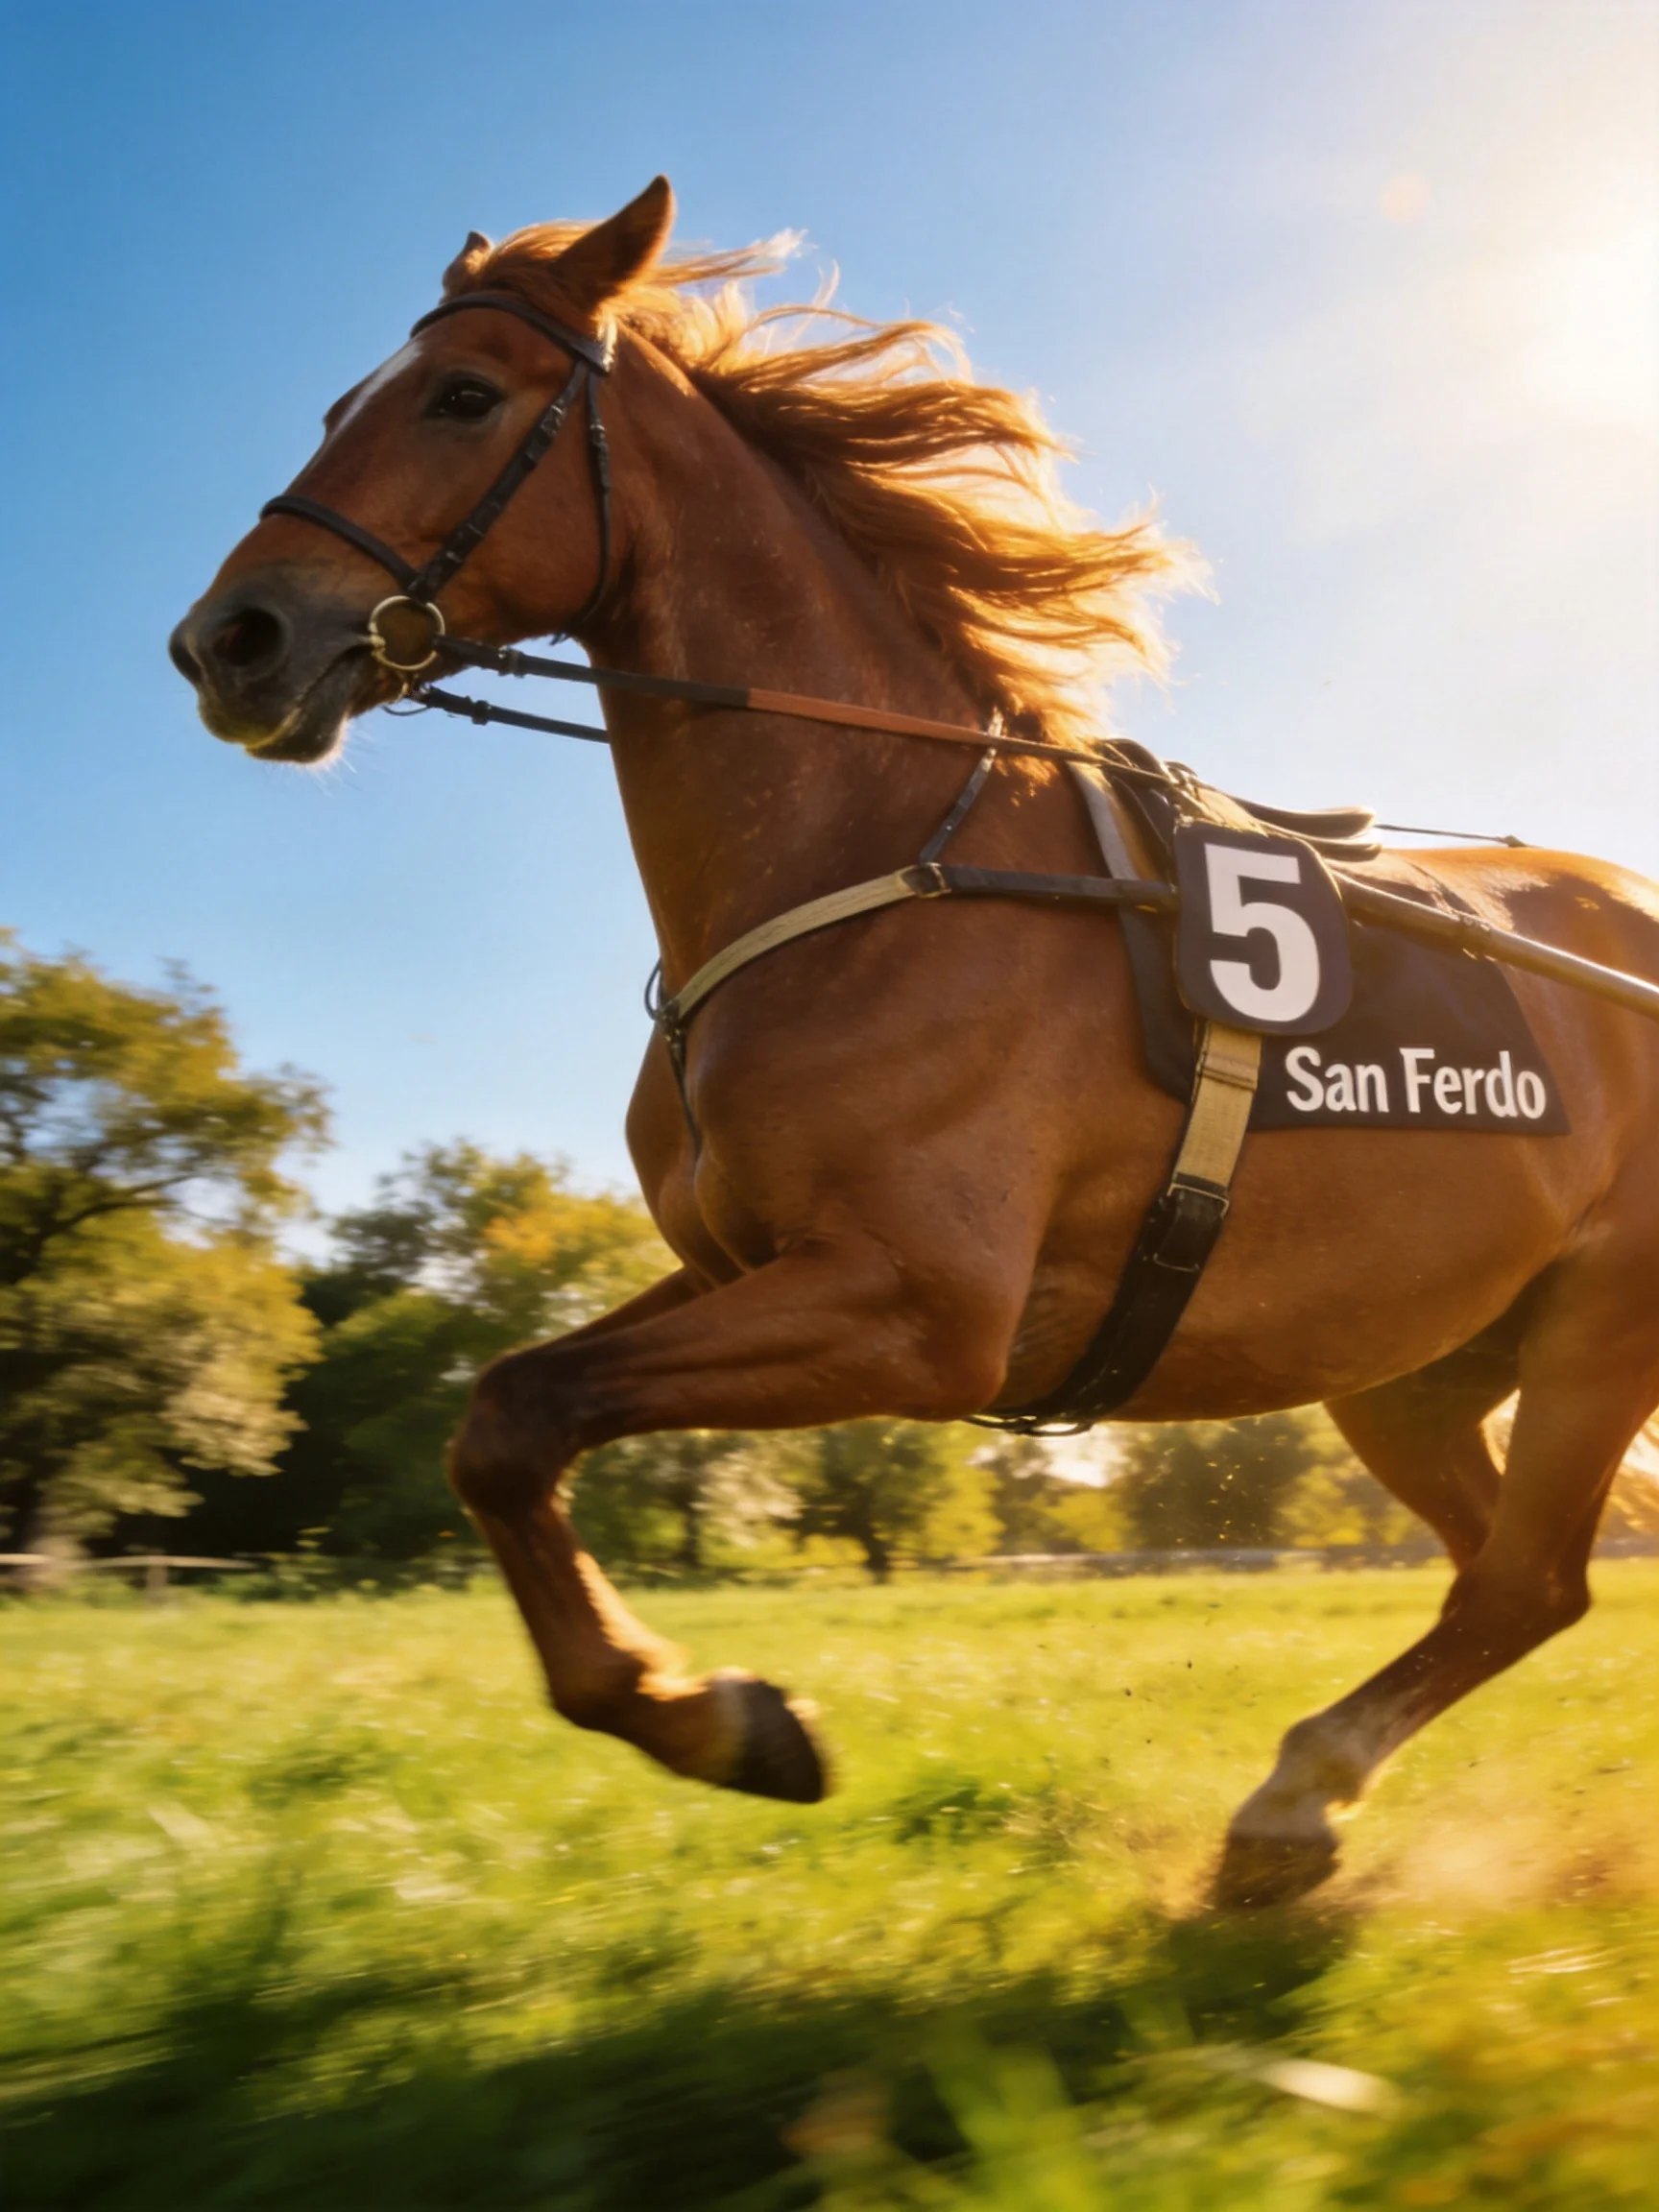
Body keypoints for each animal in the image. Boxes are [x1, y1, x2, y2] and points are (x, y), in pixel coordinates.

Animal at [170, 178, 1659, 1905]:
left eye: (464, 395)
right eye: (343, 401)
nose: (230, 638)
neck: (884, 857)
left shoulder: (919, 1304)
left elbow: (523, 1411)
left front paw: (717, 1718)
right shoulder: (753, 1263)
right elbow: (502, 1417)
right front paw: (704, 1708)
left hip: (1592, 1332)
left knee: (1526, 1578)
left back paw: (1293, 1792)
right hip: (1405, 1358)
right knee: (1507, 1575)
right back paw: (1303, 1803)